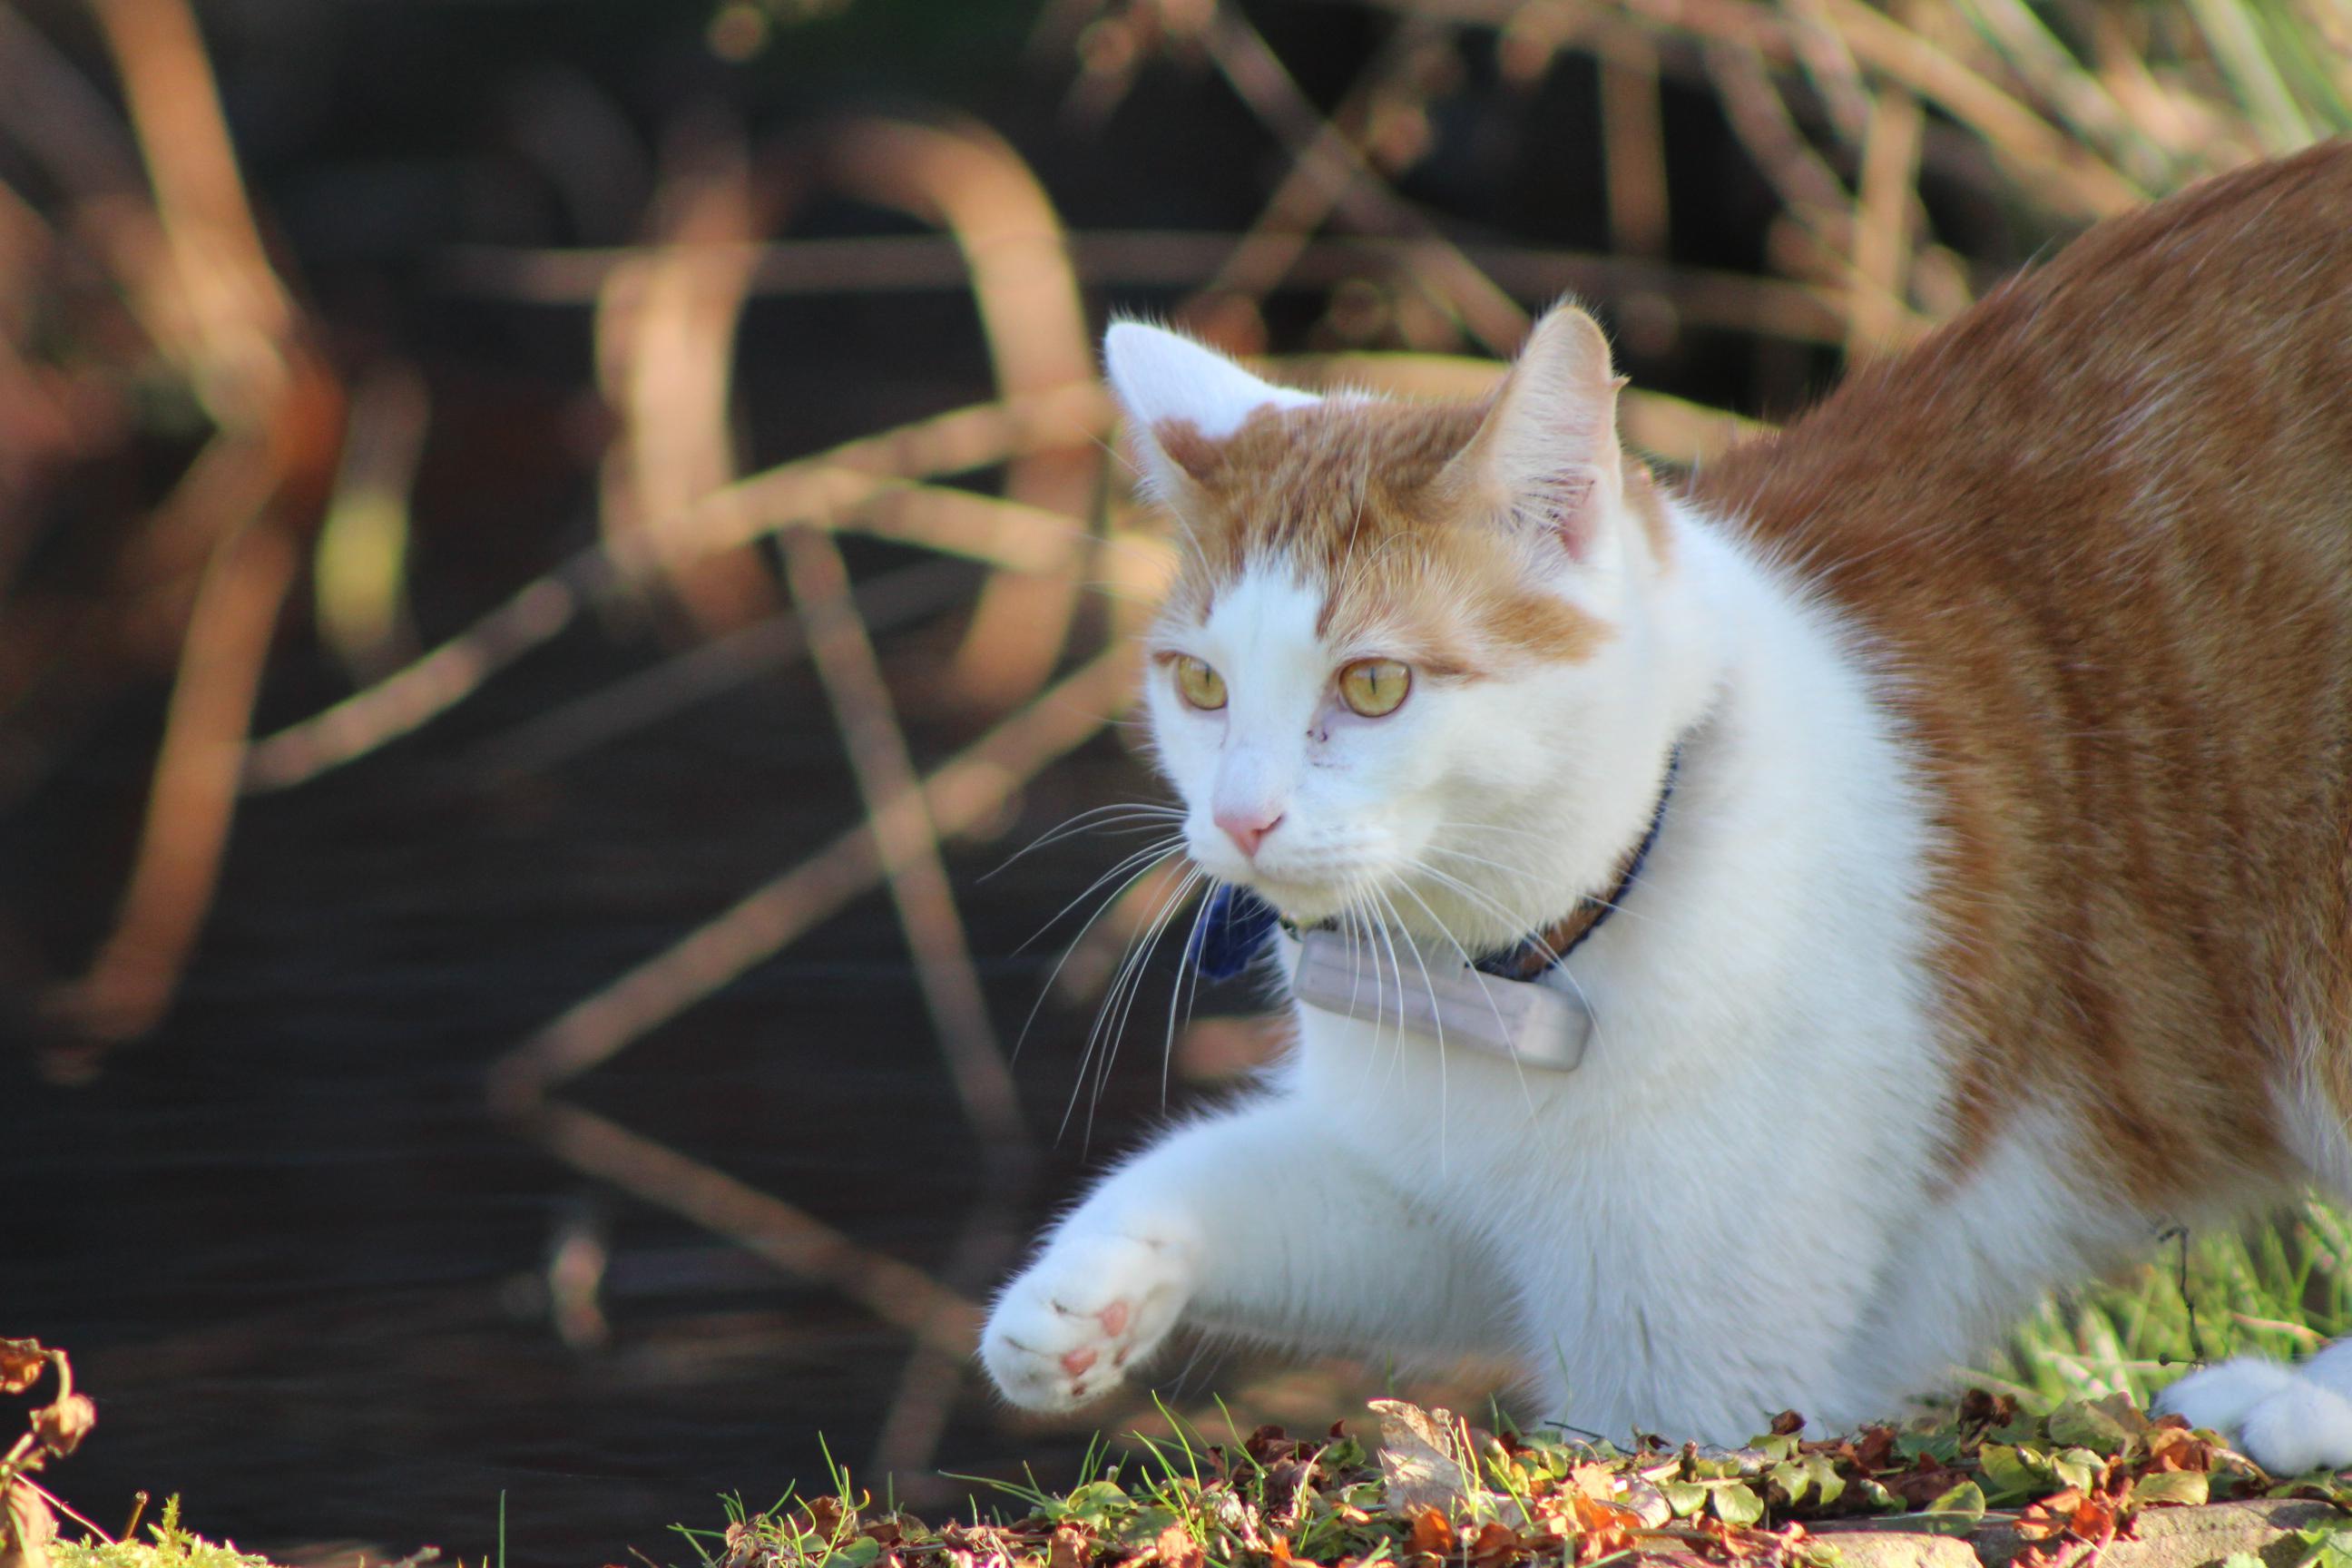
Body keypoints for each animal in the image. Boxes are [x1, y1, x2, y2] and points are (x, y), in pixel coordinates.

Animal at [978, 138, 2352, 1475]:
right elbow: (1249, 1178)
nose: (1241, 819)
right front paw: (1081, 1290)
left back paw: (2302, 1407)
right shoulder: (1433, 1198)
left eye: (1372, 685)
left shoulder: (1692, 1379)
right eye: (1200, 684)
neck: (1494, 982)